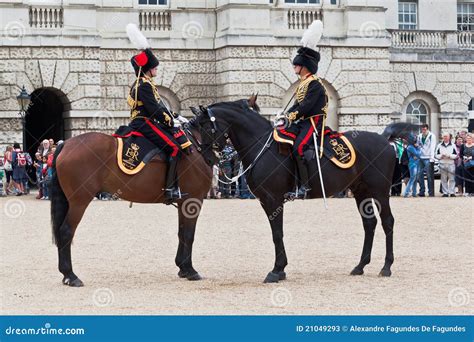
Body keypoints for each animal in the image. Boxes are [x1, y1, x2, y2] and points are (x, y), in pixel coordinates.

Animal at [50, 128, 211, 286]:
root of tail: (66, 144)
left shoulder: (183, 203)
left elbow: (181, 233)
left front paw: (182, 268)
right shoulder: (194, 200)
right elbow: (189, 235)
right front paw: (190, 270)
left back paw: (66, 275)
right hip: (79, 202)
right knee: (66, 231)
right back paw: (71, 276)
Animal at [193, 95, 414, 284]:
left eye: (206, 127)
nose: (207, 158)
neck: (261, 147)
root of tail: (384, 140)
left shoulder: (273, 199)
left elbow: (277, 233)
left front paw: (276, 271)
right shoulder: (266, 201)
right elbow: (276, 233)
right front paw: (280, 270)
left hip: (380, 191)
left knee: (387, 222)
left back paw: (386, 266)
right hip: (361, 191)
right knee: (369, 224)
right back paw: (360, 266)